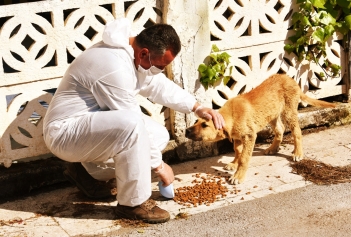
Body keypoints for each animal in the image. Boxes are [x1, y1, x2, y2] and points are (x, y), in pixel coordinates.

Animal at [186, 73, 336, 184]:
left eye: (205, 125)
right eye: (196, 121)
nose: (187, 131)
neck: (232, 115)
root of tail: (291, 79)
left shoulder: (249, 135)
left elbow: (244, 157)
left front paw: (238, 176)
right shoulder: (237, 137)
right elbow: (238, 151)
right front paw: (234, 164)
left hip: (288, 112)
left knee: (296, 132)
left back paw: (298, 153)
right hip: (272, 114)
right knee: (280, 129)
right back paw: (273, 148)